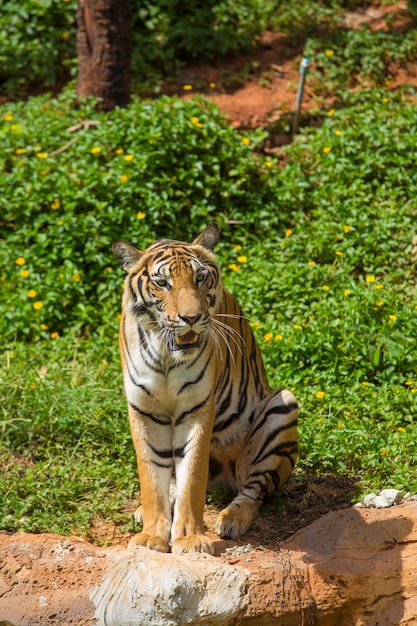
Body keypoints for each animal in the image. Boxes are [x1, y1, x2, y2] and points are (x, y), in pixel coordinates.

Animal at [112, 222, 298, 552]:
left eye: (200, 278)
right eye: (162, 283)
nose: (191, 318)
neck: (166, 355)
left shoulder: (196, 408)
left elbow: (193, 479)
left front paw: (190, 539)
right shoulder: (144, 409)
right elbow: (151, 478)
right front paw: (151, 536)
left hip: (282, 407)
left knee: (254, 490)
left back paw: (232, 519)